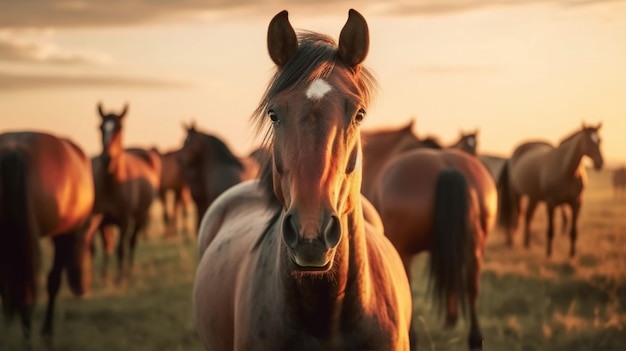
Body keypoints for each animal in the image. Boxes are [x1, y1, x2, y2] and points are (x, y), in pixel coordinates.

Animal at [0, 131, 95, 346]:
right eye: (91, 248)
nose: (83, 289)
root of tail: (14, 150)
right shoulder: (63, 236)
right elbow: (53, 282)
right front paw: (47, 332)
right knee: (27, 290)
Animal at [91, 102, 163, 284]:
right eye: (100, 127)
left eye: (119, 128)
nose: (107, 159)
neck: (111, 185)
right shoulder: (100, 219)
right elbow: (105, 247)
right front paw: (102, 276)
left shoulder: (124, 220)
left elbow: (120, 249)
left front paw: (119, 278)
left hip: (140, 216)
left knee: (131, 243)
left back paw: (129, 271)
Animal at [494, 122, 604, 258]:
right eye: (588, 141)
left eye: (600, 140)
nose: (600, 163)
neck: (567, 171)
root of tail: (510, 158)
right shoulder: (551, 204)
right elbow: (551, 230)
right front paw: (549, 253)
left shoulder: (576, 204)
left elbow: (573, 231)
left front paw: (572, 254)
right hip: (516, 194)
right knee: (515, 217)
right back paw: (511, 242)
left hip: (534, 198)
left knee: (528, 216)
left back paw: (527, 244)